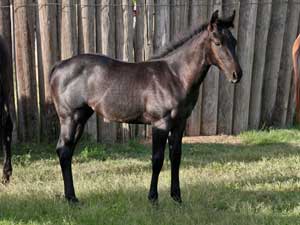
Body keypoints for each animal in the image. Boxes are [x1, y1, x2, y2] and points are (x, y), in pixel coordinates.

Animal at [49, 10, 241, 203]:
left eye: (234, 41)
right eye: (217, 42)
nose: (236, 74)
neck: (176, 76)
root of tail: (59, 66)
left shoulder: (179, 123)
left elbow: (176, 156)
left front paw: (177, 197)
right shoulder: (160, 124)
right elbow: (157, 159)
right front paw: (153, 198)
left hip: (81, 117)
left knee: (67, 151)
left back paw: (71, 196)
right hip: (70, 118)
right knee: (64, 150)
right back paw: (72, 198)